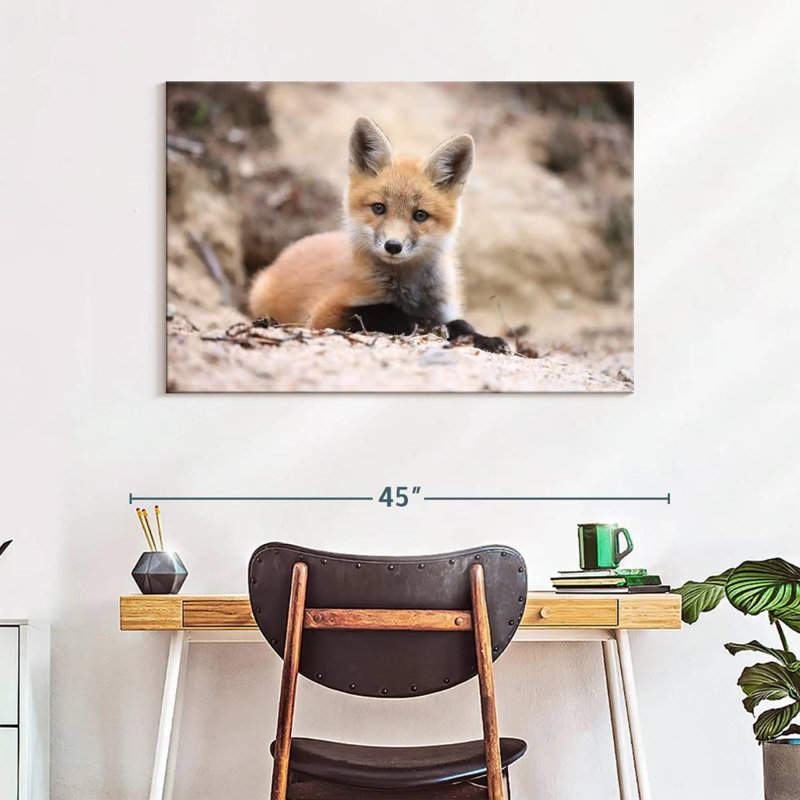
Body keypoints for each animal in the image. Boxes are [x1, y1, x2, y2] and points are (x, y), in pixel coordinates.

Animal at [248, 117, 509, 353]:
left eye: (420, 215)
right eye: (379, 208)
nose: (393, 246)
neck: (409, 292)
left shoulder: (445, 308)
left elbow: (464, 325)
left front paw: (487, 339)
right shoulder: (323, 314)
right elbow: (382, 311)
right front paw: (425, 323)